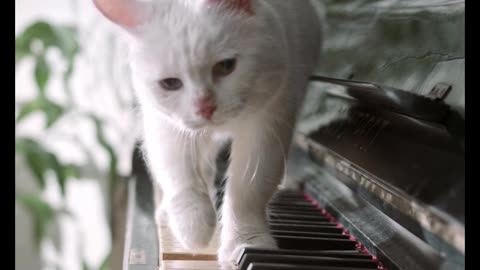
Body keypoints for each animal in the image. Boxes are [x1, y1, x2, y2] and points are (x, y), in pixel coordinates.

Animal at [93, 0, 322, 262]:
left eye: (226, 66)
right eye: (170, 84)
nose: (205, 107)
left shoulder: (268, 124)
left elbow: (247, 192)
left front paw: (246, 243)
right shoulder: (166, 126)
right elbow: (181, 177)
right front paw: (194, 228)